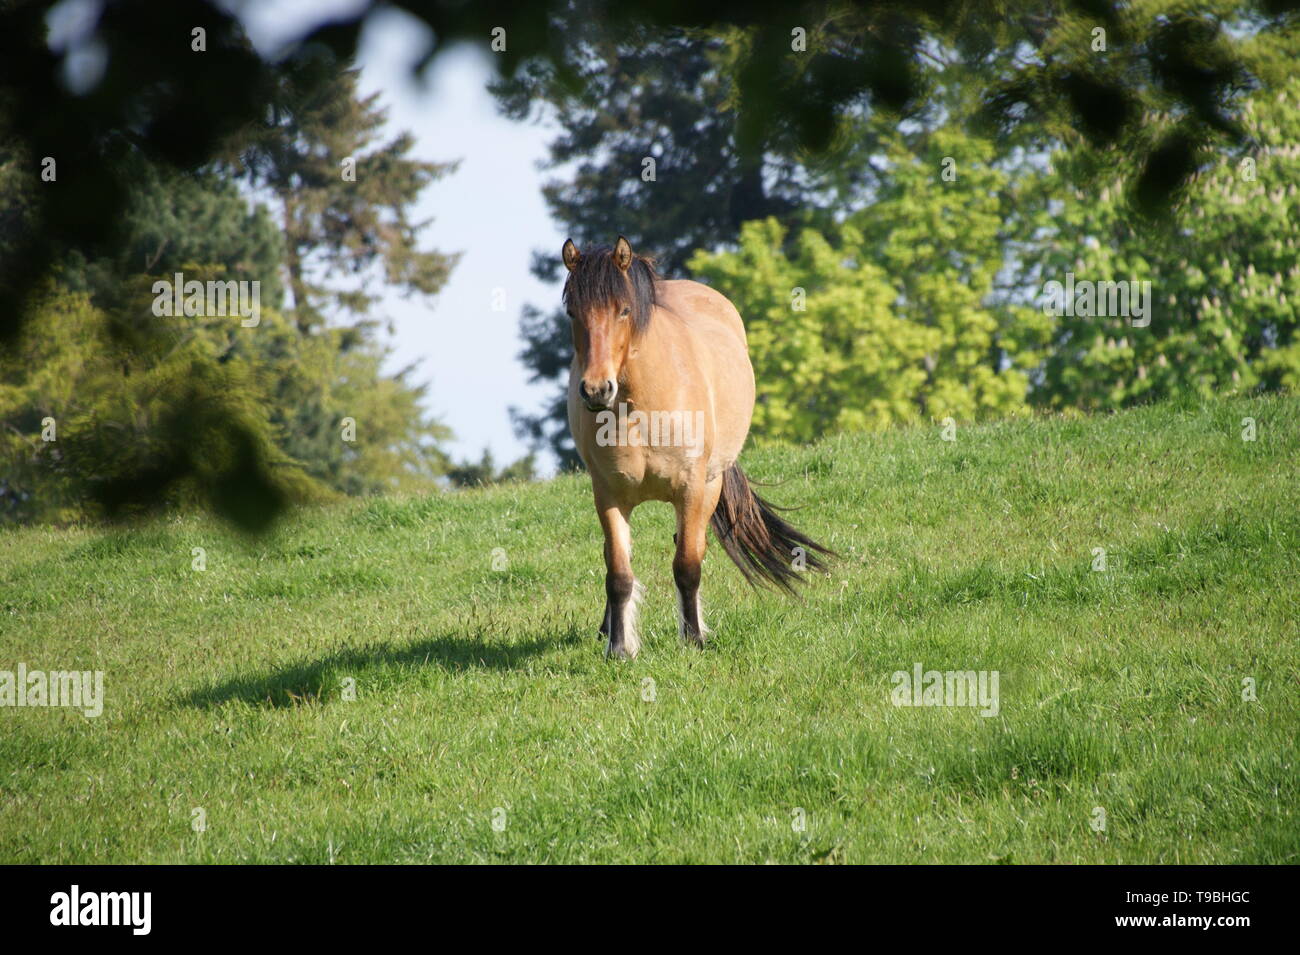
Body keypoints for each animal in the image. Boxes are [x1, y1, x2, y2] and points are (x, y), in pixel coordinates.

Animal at [561, 235, 832, 660]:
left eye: (624, 310)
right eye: (572, 312)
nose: (595, 389)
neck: (639, 410)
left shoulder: (692, 489)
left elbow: (687, 564)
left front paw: (693, 639)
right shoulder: (608, 496)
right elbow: (618, 571)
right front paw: (619, 647)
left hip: (710, 485)